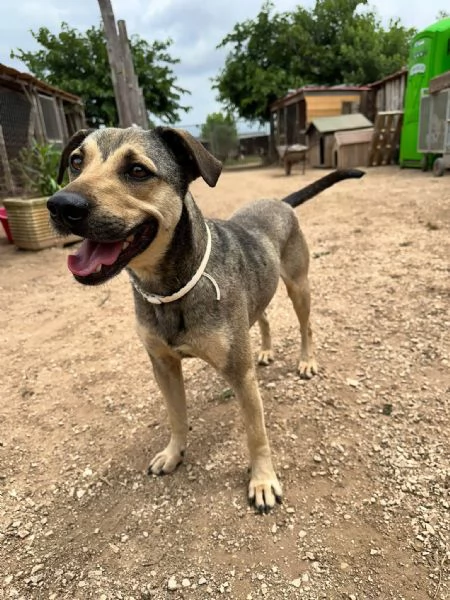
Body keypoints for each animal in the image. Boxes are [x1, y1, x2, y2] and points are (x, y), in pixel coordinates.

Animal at [47, 126, 364, 510]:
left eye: (137, 171)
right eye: (77, 162)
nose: (61, 205)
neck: (171, 288)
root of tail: (280, 202)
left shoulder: (241, 375)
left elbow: (256, 433)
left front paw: (262, 480)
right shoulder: (163, 366)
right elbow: (176, 416)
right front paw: (174, 453)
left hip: (298, 286)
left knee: (307, 326)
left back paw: (306, 361)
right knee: (264, 318)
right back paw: (266, 350)